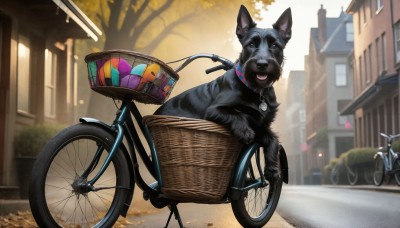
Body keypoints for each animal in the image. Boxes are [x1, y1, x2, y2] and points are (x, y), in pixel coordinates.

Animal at [155, 4, 292, 181]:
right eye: (251, 44)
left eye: (275, 45)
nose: (262, 64)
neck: (255, 89)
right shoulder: (214, 110)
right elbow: (237, 114)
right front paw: (245, 131)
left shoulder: (262, 125)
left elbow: (273, 138)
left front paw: (273, 169)